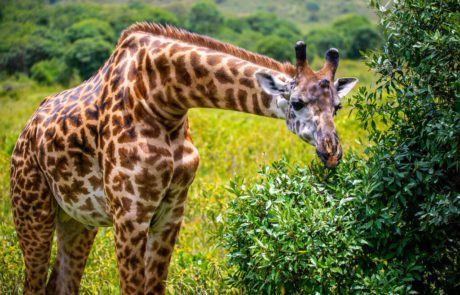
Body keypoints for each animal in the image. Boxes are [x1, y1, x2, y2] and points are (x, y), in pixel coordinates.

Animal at [9, 23, 358, 295]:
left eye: (338, 106)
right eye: (297, 103)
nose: (331, 152)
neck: (164, 99)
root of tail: (24, 133)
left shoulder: (171, 212)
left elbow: (154, 287)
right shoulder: (129, 214)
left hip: (78, 220)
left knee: (61, 283)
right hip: (33, 210)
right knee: (34, 282)